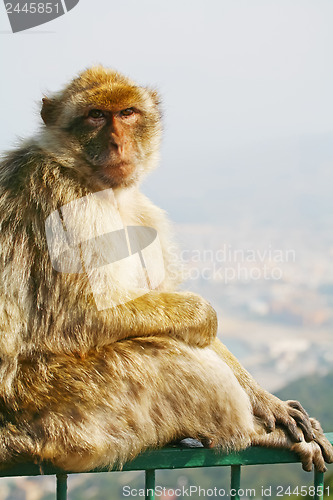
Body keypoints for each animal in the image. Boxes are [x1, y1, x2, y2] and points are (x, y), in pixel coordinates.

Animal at [0, 65, 330, 472]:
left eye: (127, 113)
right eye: (96, 115)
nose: (117, 143)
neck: (105, 189)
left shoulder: (145, 213)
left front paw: (266, 399)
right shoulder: (61, 200)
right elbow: (72, 317)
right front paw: (206, 316)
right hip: (61, 412)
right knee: (165, 354)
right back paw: (253, 434)